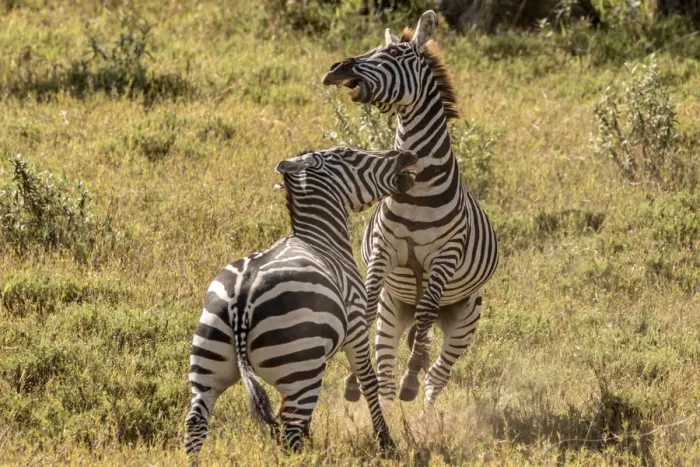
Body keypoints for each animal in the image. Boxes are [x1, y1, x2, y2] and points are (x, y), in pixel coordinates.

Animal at [184, 147, 418, 463]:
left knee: (196, 420)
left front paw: (313, 438)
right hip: (300, 367)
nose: (407, 154)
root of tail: (243, 295)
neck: (320, 237)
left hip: (209, 360)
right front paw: (385, 441)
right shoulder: (356, 325)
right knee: (290, 428)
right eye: (349, 153)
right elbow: (368, 381)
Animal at [322, 10, 499, 408]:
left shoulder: (444, 257)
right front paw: (354, 380)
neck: (416, 186)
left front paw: (411, 379)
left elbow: (424, 318)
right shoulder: (384, 250)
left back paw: (423, 401)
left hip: (466, 317)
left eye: (393, 55)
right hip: (394, 310)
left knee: (438, 371)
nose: (336, 69)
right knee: (389, 362)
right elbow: (367, 308)